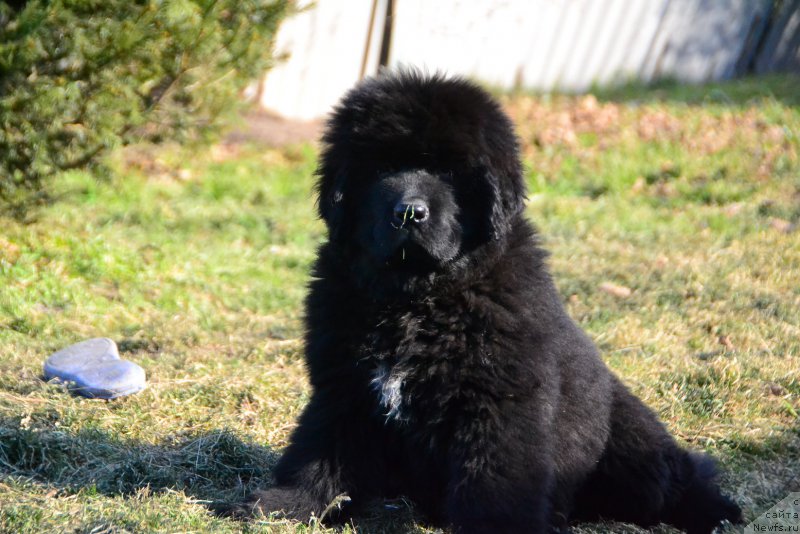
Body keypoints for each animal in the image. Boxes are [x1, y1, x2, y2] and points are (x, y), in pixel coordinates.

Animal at [247, 72, 740, 534]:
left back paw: (716, 511)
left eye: (449, 172)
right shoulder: (343, 386)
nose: (409, 212)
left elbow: (495, 475)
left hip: (633, 450)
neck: (416, 299)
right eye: (382, 168)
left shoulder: (499, 400)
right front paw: (289, 504)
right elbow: (321, 448)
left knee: (679, 475)